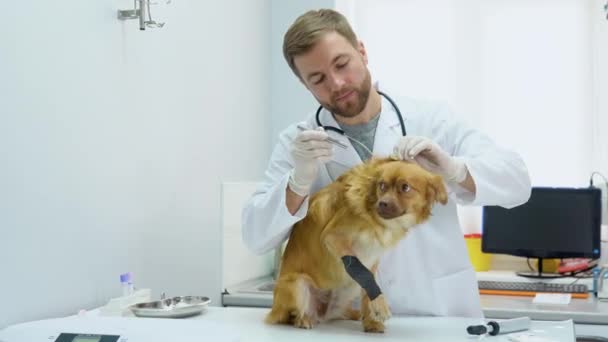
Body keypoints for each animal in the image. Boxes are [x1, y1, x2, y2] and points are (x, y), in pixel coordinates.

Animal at [266, 157, 446, 332]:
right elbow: (363, 273)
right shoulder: (332, 237)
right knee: (291, 316)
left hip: (348, 285)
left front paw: (371, 320)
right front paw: (379, 301)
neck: (376, 218)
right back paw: (303, 319)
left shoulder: (372, 258)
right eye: (382, 185)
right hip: (298, 284)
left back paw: (354, 314)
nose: (382, 203)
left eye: (405, 187)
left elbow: (366, 286)